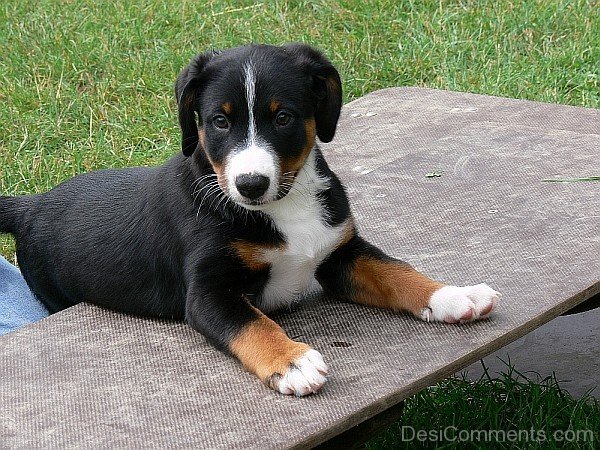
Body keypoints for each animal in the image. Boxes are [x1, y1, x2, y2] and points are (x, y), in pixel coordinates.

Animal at [0, 44, 502, 396]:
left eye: (283, 117)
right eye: (220, 122)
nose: (251, 184)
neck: (283, 205)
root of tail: (33, 204)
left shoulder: (340, 253)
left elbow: (397, 271)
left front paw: (452, 295)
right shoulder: (208, 292)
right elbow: (252, 324)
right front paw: (292, 362)